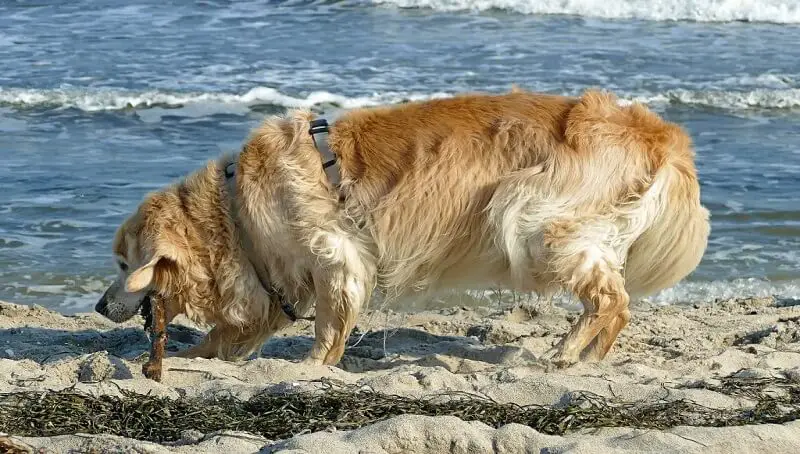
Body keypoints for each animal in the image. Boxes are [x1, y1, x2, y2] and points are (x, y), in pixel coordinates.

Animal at [94, 87, 712, 368]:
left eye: (124, 263)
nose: (99, 306)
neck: (234, 212)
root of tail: (661, 134)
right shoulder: (274, 281)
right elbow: (230, 335)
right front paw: (194, 359)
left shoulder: (336, 257)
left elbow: (327, 328)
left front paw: (313, 369)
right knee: (613, 302)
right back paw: (583, 355)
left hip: (533, 218)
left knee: (613, 300)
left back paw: (567, 352)